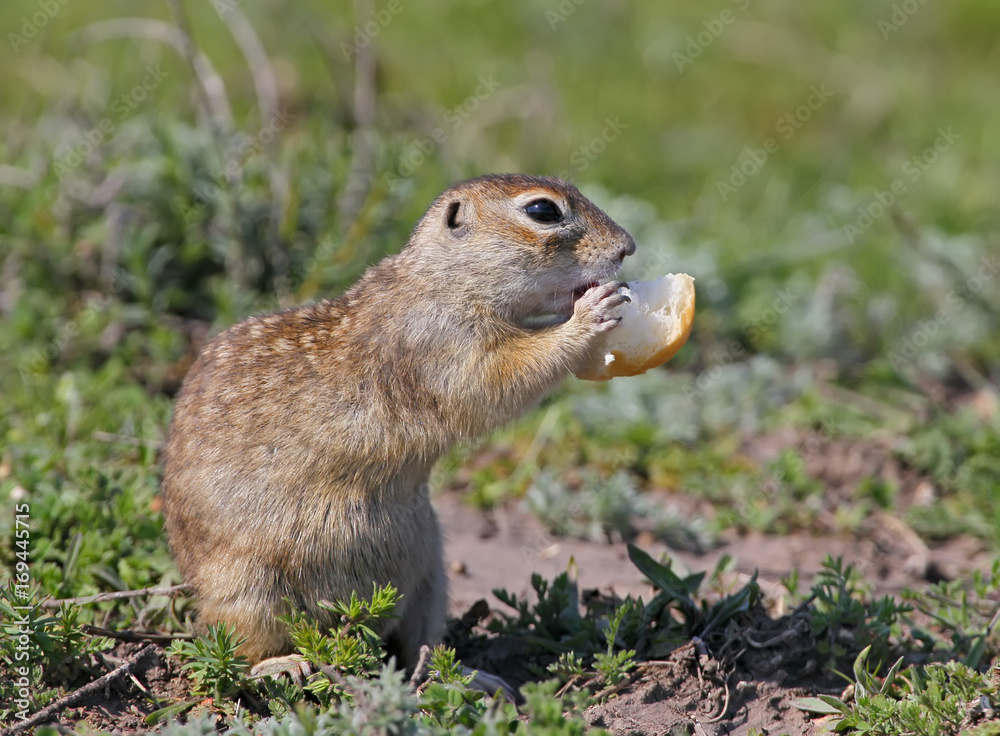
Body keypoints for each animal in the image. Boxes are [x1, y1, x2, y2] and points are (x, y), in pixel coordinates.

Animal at [161, 173, 636, 679]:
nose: (627, 247)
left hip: (430, 573)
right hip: (247, 592)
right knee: (237, 641)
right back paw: (283, 664)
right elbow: (496, 379)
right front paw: (591, 313)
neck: (440, 281)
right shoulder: (440, 344)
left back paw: (473, 677)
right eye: (543, 211)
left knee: (418, 651)